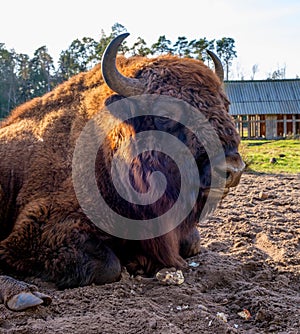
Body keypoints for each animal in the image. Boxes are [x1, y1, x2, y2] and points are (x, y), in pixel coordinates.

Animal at [0, 33, 244, 310]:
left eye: (225, 105)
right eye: (166, 113)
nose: (232, 168)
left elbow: (192, 242)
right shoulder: (38, 229)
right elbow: (108, 266)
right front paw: (135, 262)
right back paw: (24, 295)